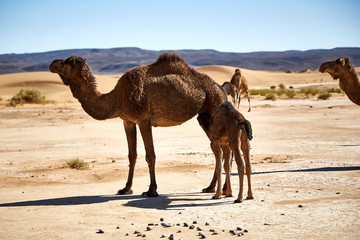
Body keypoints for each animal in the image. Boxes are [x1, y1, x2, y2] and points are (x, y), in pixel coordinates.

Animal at [49, 53, 226, 198]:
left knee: (220, 147)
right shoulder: (128, 121)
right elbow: (132, 155)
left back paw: (217, 189)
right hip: (204, 117)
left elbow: (150, 155)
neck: (117, 98)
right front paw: (126, 188)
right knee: (220, 148)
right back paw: (213, 188)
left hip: (213, 107)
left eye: (68, 62)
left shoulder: (143, 120)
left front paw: (152, 190)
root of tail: (221, 89)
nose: (52, 63)